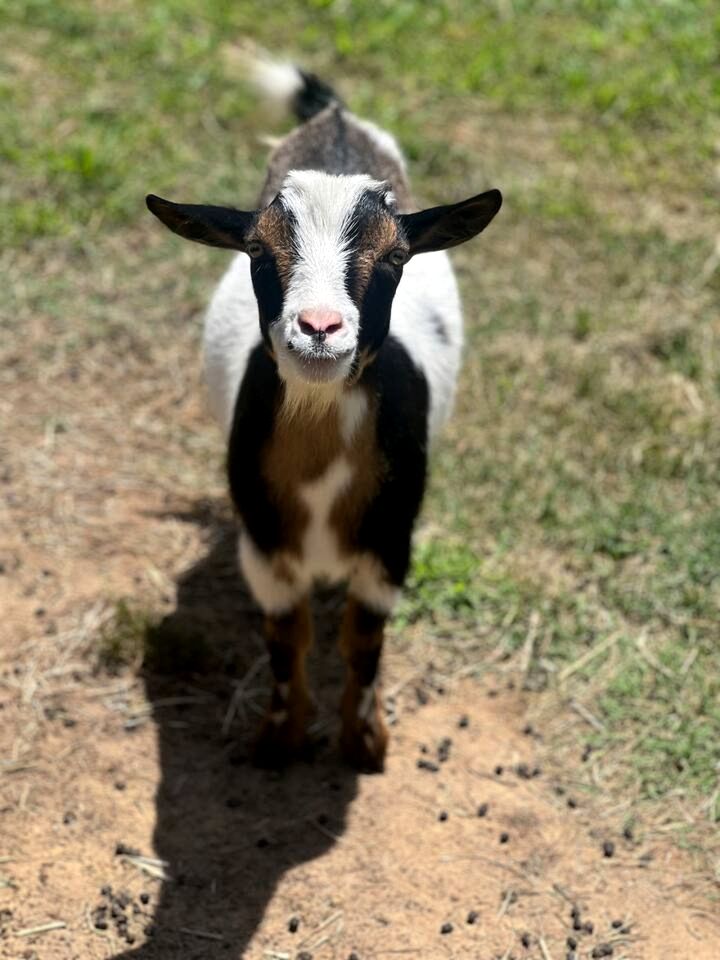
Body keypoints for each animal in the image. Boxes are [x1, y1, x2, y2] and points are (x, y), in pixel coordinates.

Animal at [146, 58, 502, 771]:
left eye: (396, 257)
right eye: (257, 252)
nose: (318, 327)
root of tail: (335, 122)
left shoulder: (391, 544)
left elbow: (362, 644)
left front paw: (364, 742)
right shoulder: (264, 546)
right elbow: (289, 638)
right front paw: (281, 737)